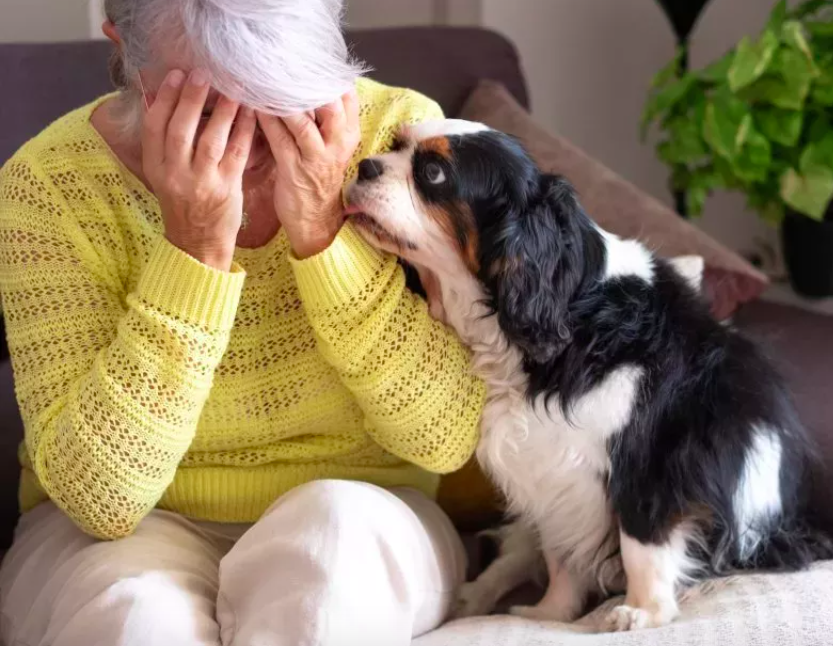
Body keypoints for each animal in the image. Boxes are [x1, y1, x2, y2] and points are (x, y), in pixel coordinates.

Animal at [340, 120, 832, 632]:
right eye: (394, 146)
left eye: (433, 173)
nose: (365, 165)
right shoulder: (552, 470)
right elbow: (561, 555)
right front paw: (551, 613)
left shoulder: (648, 460)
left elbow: (641, 545)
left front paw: (644, 612)